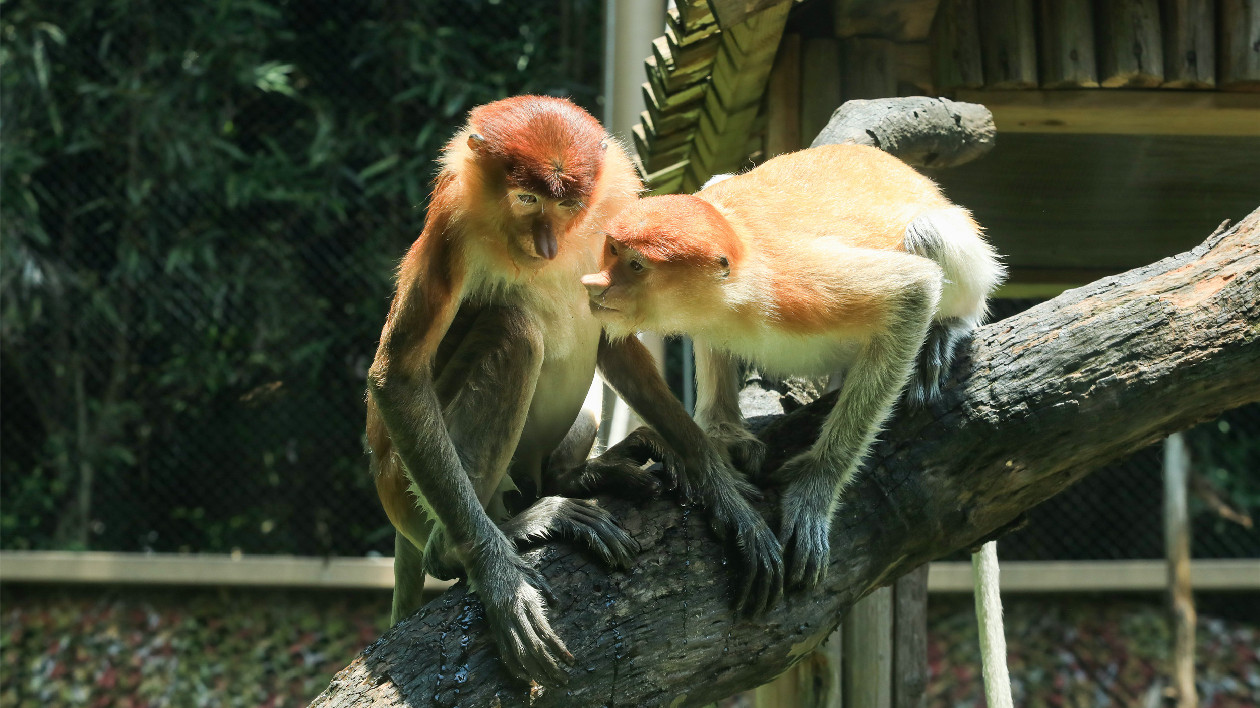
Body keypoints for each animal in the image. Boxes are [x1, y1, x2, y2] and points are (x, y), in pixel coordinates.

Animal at [579, 141, 1002, 589]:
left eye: (636, 265)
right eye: (612, 250)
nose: (597, 285)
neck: (735, 284)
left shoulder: (794, 285)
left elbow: (913, 290)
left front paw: (814, 490)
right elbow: (611, 349)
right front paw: (721, 482)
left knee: (928, 232)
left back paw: (947, 328)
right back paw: (725, 430)